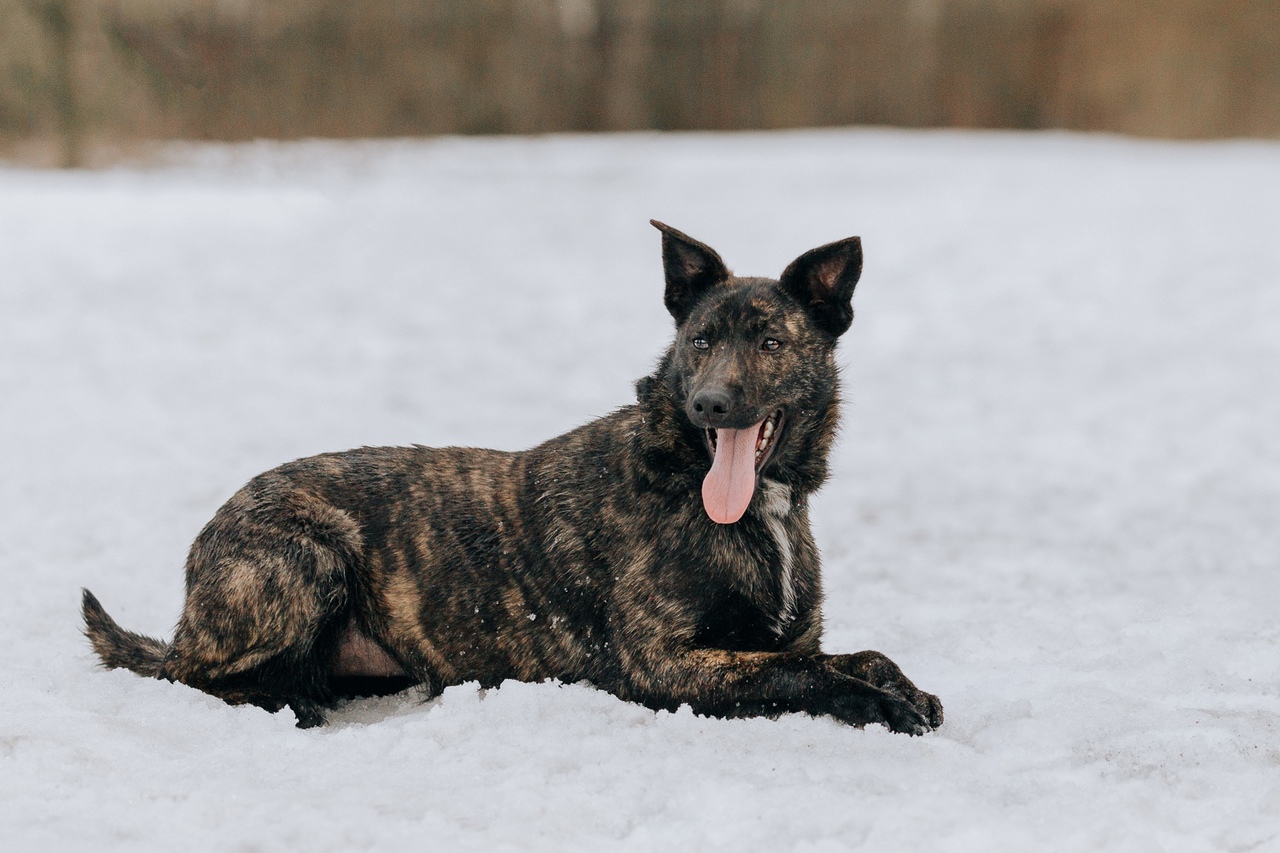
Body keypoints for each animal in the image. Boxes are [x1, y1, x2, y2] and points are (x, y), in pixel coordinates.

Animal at [82, 220, 943, 733]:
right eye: (699, 340)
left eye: (770, 342)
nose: (709, 401)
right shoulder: (664, 662)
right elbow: (798, 671)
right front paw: (879, 703)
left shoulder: (778, 635)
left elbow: (849, 651)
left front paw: (902, 684)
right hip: (306, 553)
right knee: (194, 676)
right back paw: (284, 695)